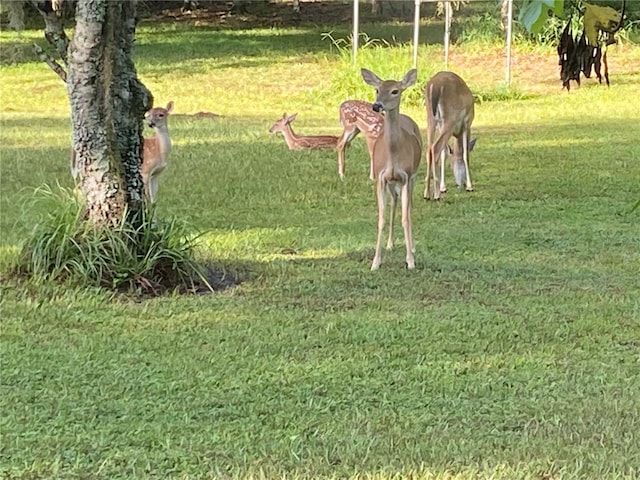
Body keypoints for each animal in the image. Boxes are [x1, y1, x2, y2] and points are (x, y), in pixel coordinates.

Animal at [362, 68, 422, 272]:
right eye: (377, 90)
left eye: (395, 91)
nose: (376, 106)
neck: (393, 153)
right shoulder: (381, 177)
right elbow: (381, 219)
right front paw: (375, 262)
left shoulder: (405, 176)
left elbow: (405, 217)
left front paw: (410, 260)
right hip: (391, 182)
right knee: (394, 202)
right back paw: (390, 244)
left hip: (413, 177)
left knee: (409, 208)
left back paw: (412, 247)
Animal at [424, 70, 476, 200]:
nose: (461, 183)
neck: (457, 134)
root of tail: (434, 86)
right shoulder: (466, 124)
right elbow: (465, 154)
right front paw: (470, 186)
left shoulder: (441, 126)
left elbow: (444, 154)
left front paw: (443, 187)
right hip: (449, 118)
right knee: (435, 148)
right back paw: (436, 195)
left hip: (431, 119)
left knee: (429, 150)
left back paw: (427, 194)